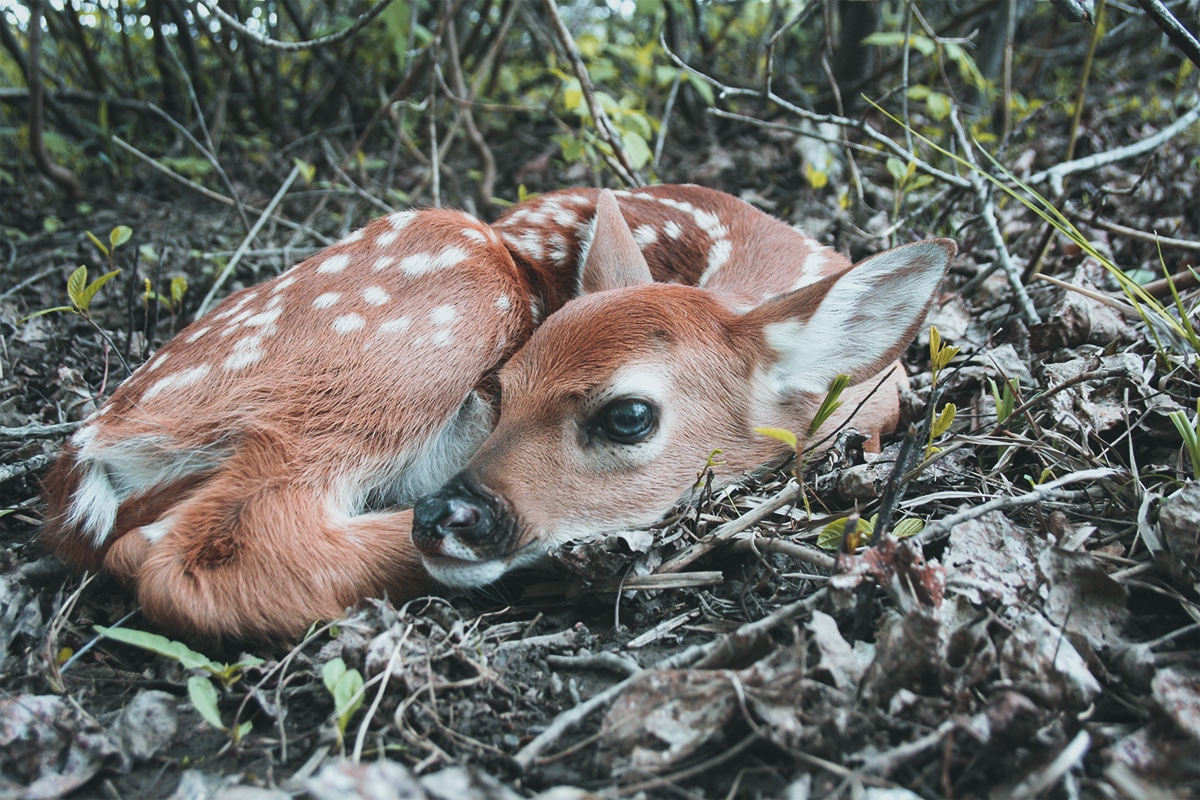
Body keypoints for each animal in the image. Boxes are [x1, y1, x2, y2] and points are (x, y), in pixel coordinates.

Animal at [39, 184, 955, 642]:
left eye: (629, 416)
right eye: (500, 388)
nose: (447, 516)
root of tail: (90, 441)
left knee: (146, 542)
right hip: (448, 291)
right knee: (214, 545)